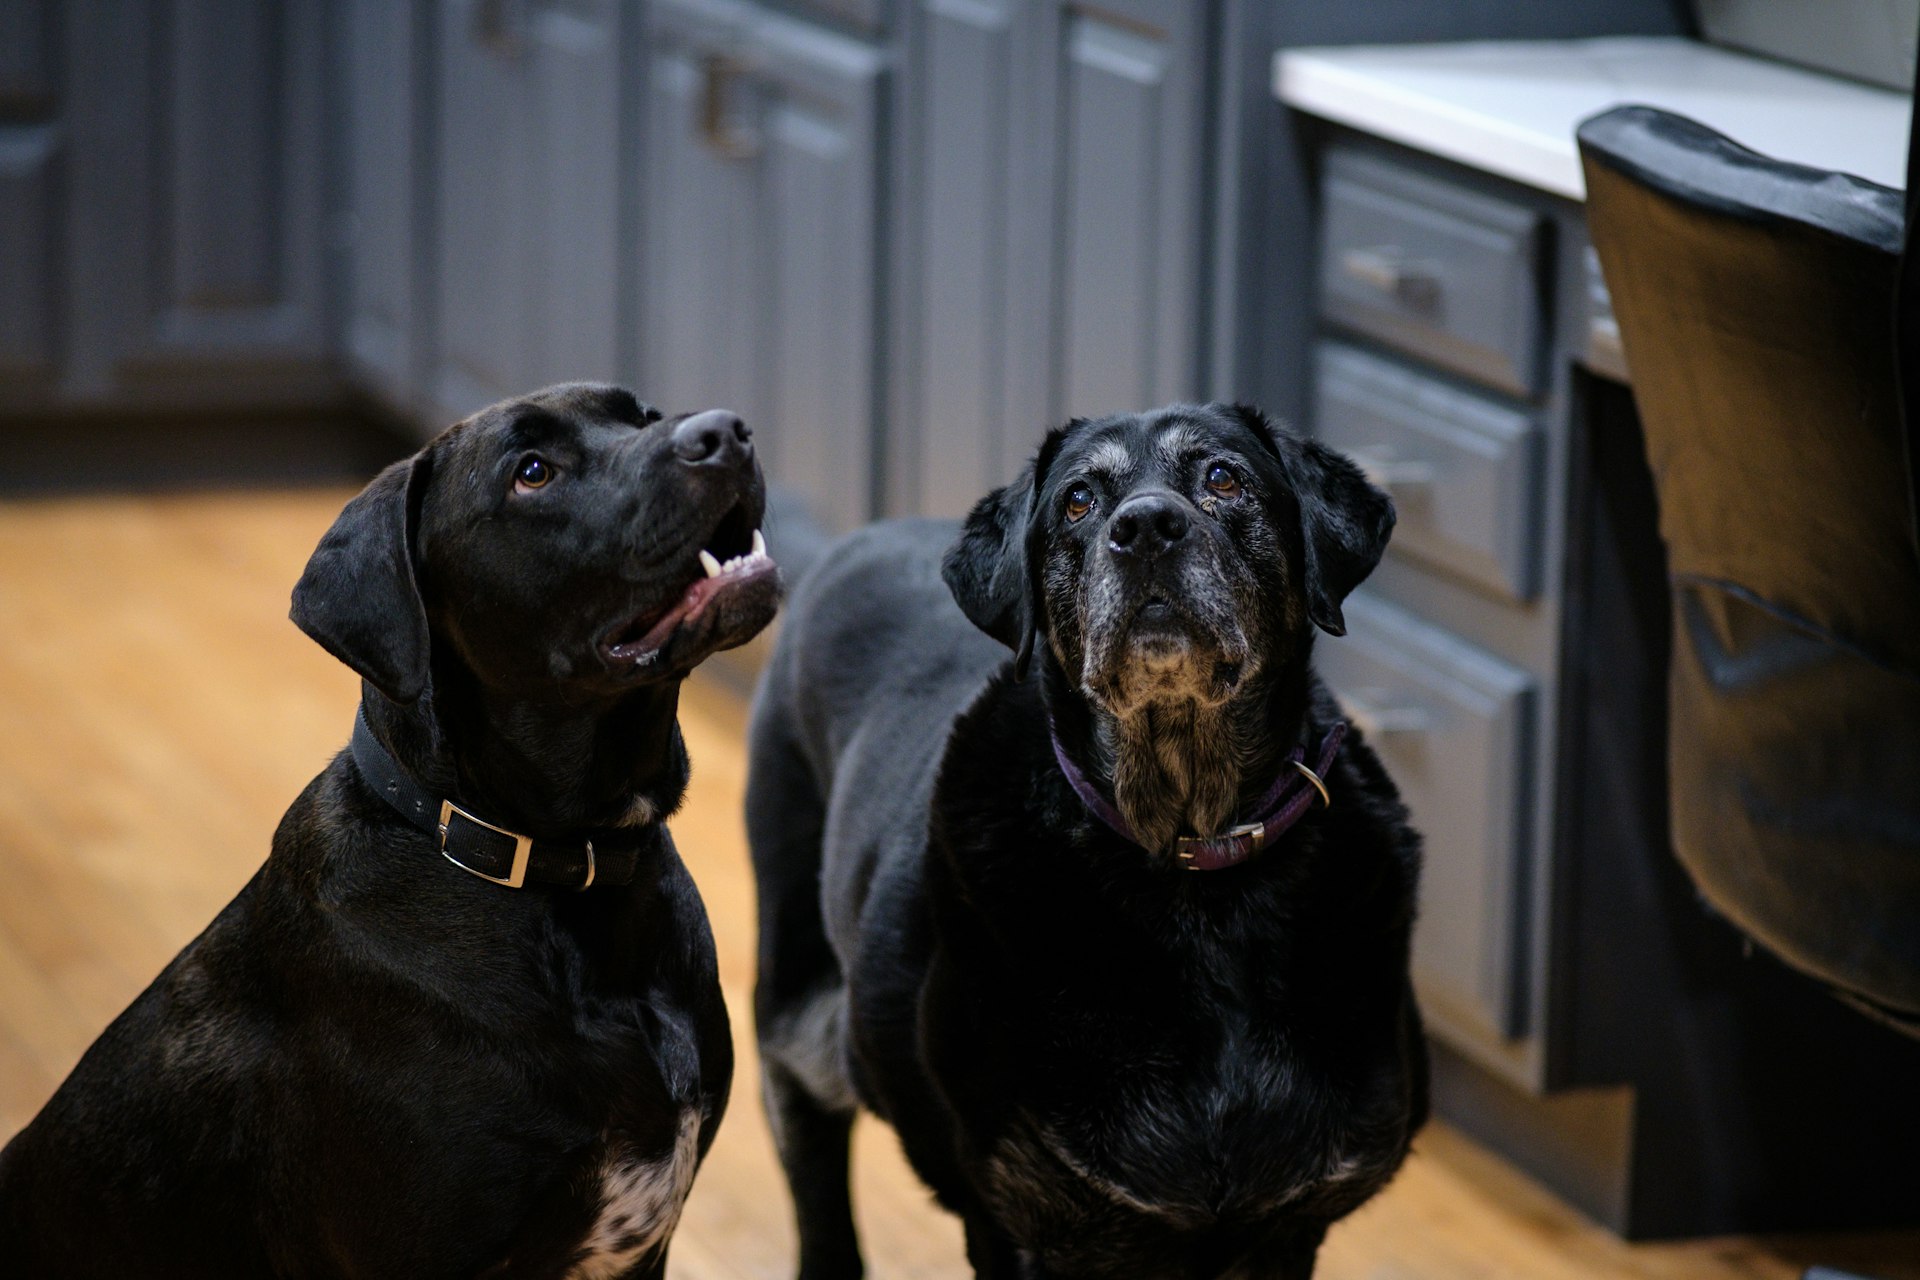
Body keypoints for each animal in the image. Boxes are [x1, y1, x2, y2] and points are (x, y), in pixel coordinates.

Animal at [748, 402, 1428, 1280]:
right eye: (1077, 501)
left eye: (1224, 478)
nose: (1145, 528)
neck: (1191, 855)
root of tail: (854, 538)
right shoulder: (1025, 1223)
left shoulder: (1286, 1225)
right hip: (803, 1006)